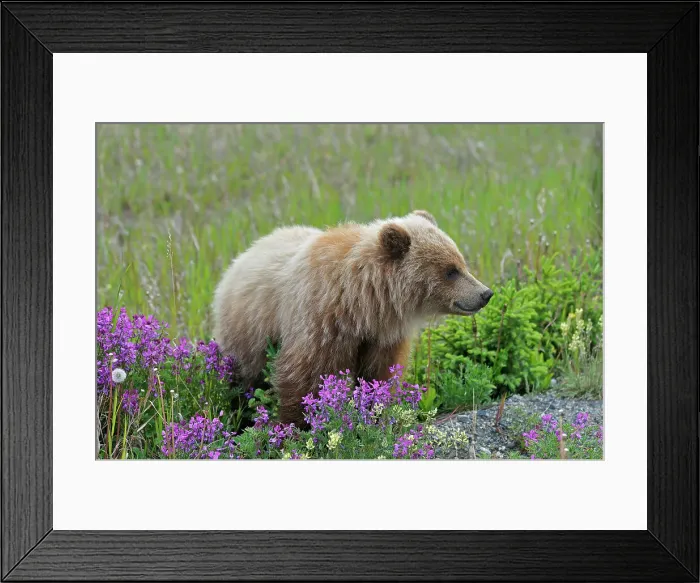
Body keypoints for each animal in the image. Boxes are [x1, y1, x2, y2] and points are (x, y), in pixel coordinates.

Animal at [212, 210, 493, 426]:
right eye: (450, 271)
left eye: (461, 263)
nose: (485, 293)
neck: (362, 303)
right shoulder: (320, 320)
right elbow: (303, 376)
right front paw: (297, 424)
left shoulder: (382, 336)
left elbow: (379, 374)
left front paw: (376, 412)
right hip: (249, 326)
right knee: (247, 374)